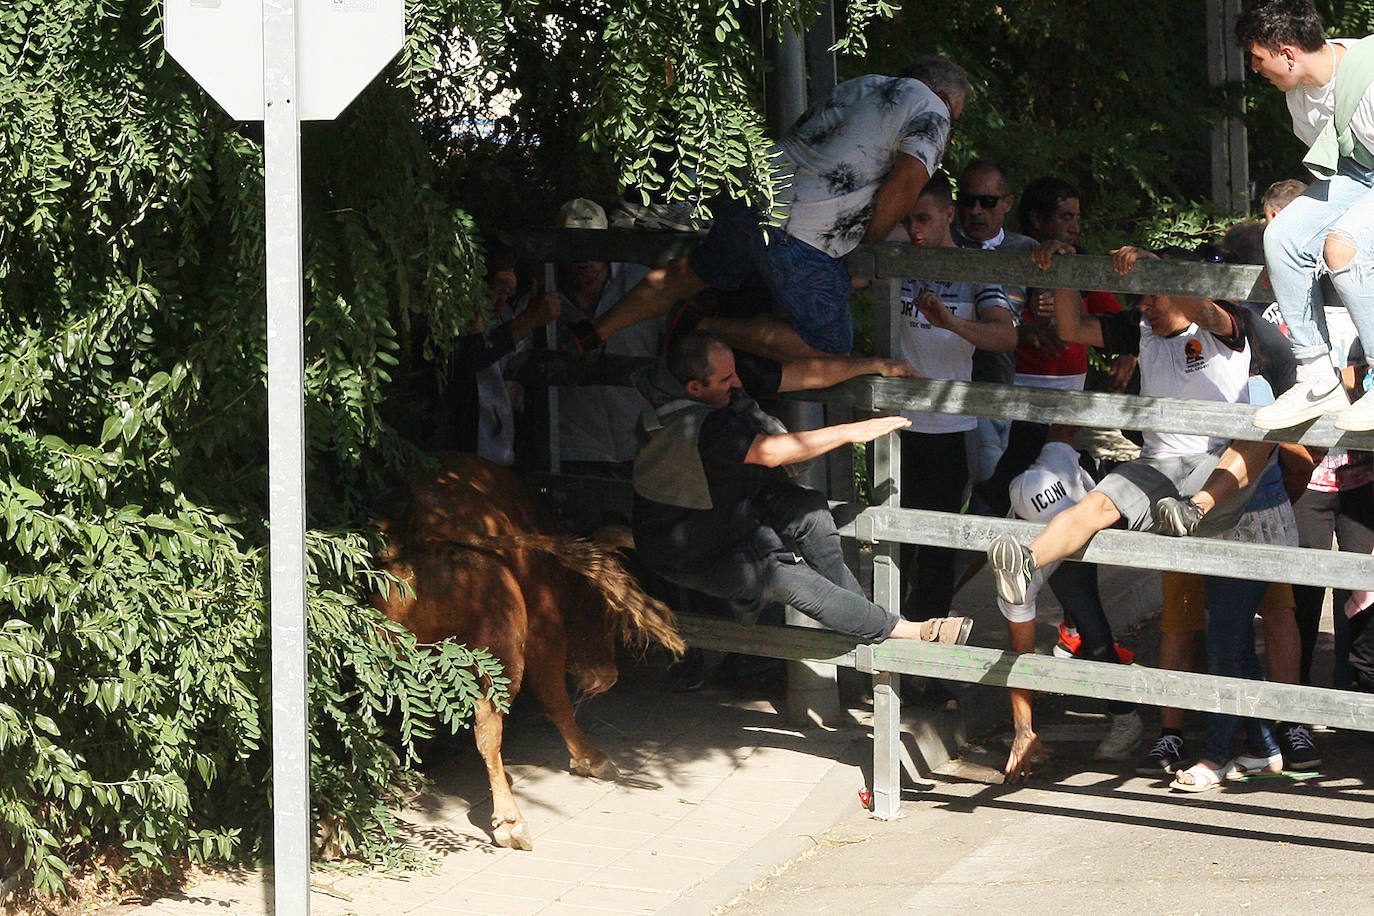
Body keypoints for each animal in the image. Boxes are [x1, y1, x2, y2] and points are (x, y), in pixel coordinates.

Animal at [373, 453, 684, 851]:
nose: (607, 676)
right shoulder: (544, 632)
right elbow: (557, 703)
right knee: (488, 727)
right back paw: (511, 822)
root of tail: (423, 524)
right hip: (501, 652)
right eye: (605, 611)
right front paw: (592, 759)